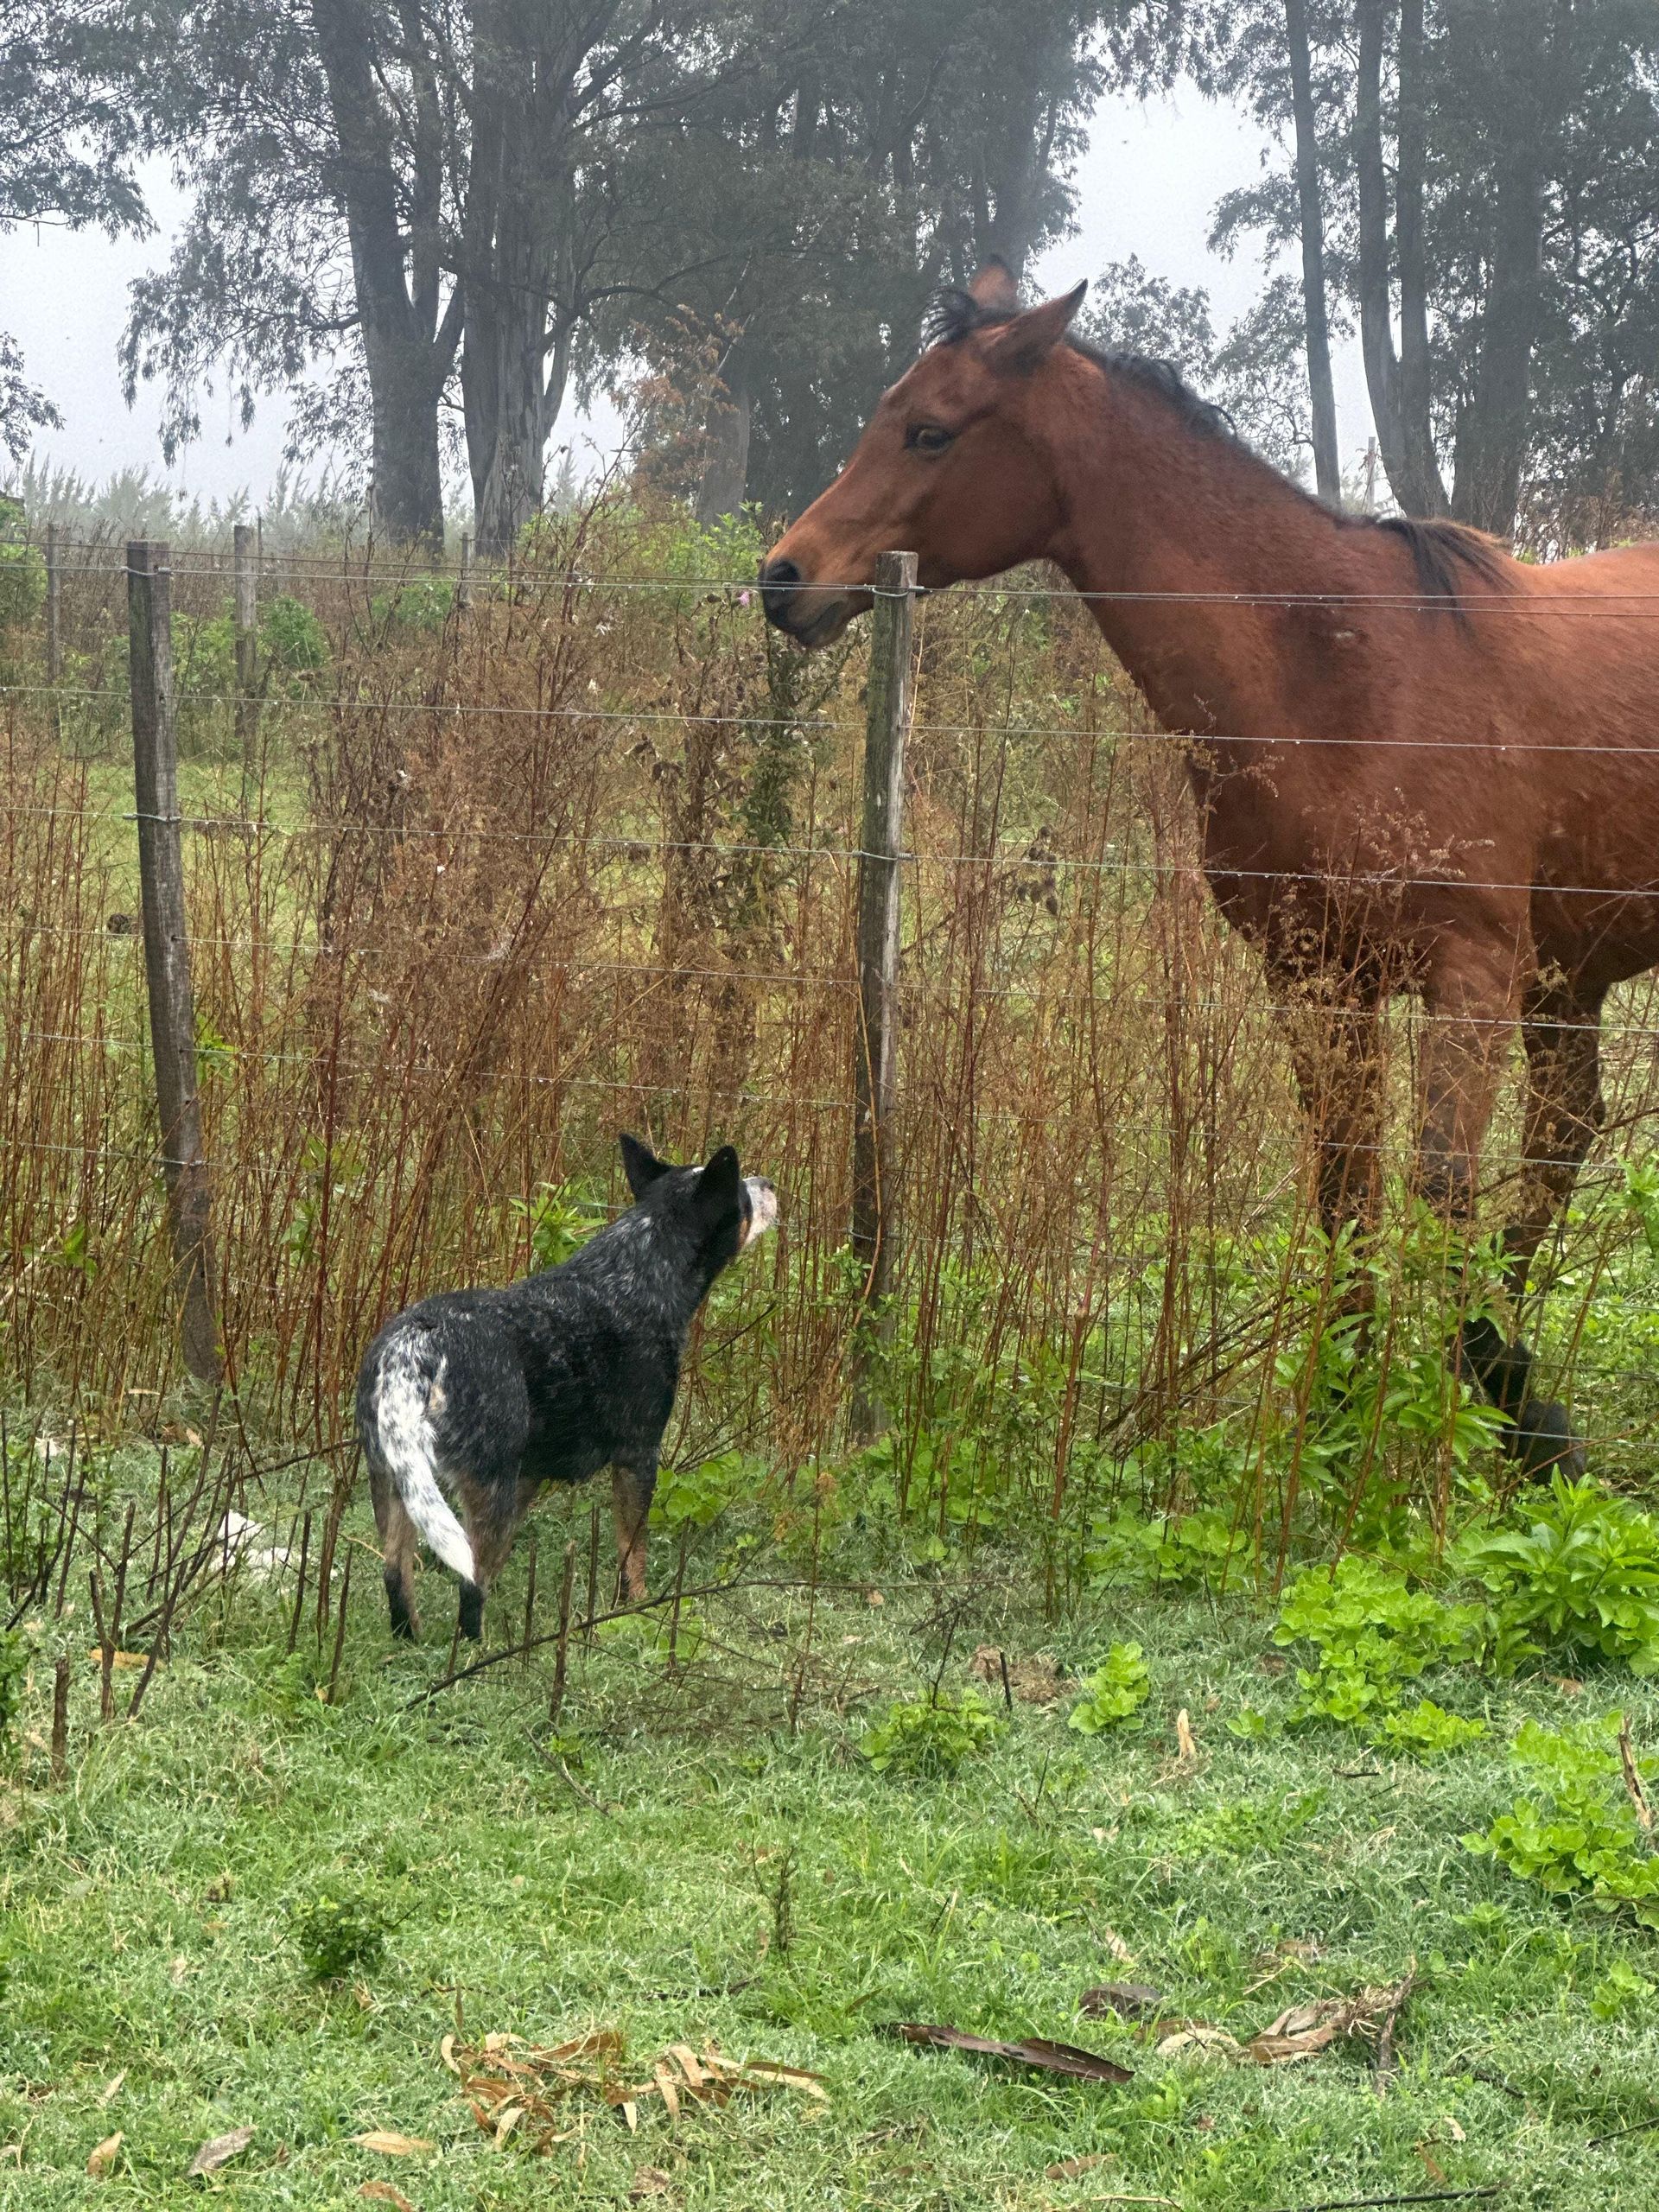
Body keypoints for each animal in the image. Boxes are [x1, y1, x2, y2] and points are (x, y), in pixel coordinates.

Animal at [759, 259, 1659, 1476]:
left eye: (931, 429)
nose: (783, 577)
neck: (1340, 675)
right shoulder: (1316, 979)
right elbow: (1346, 1187)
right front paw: (1351, 1408)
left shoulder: (1467, 973)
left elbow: (1439, 1189)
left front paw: (1508, 1408)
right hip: (1572, 978)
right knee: (1562, 1144)